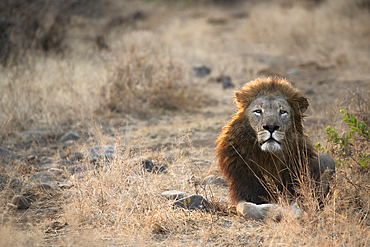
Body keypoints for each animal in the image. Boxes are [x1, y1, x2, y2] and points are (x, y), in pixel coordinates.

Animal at [217, 77, 336, 220]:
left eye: (283, 112)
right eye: (258, 111)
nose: (271, 126)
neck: (269, 157)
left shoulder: (296, 185)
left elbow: (298, 203)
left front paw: (293, 212)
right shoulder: (244, 187)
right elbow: (246, 208)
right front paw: (273, 210)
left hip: (329, 160)